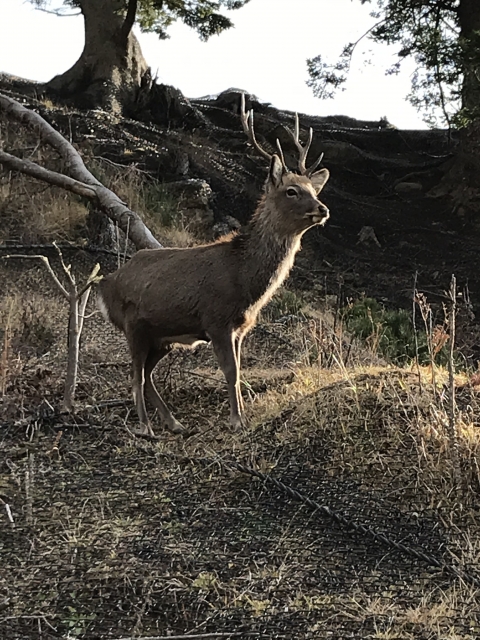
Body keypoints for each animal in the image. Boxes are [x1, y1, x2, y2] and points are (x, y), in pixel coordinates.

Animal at [97, 94, 330, 436]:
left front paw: (244, 416)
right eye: (291, 190)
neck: (243, 281)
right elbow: (230, 372)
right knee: (135, 375)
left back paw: (174, 423)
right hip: (132, 324)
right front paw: (237, 421)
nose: (323, 209)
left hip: (162, 336)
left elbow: (239, 370)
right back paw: (145, 426)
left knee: (148, 375)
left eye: (314, 189)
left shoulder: (241, 327)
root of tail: (104, 285)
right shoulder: (215, 319)